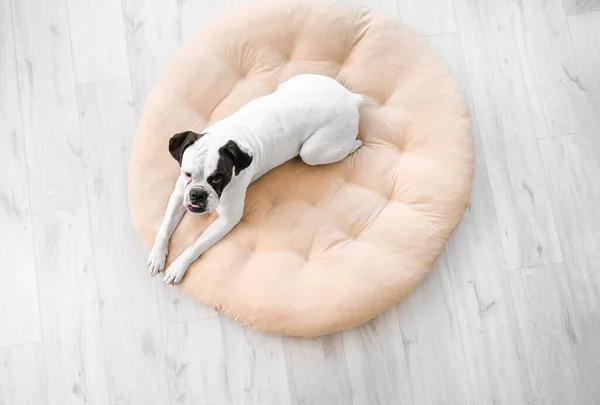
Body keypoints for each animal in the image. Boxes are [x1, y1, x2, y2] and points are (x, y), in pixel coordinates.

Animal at [148, 75, 364, 284]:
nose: (197, 194)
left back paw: (356, 144)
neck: (225, 137)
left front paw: (179, 265)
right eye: (187, 174)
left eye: (217, 179)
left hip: (312, 152)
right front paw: (157, 254)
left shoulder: (227, 219)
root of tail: (350, 98)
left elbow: (196, 245)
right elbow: (165, 226)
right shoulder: (179, 194)